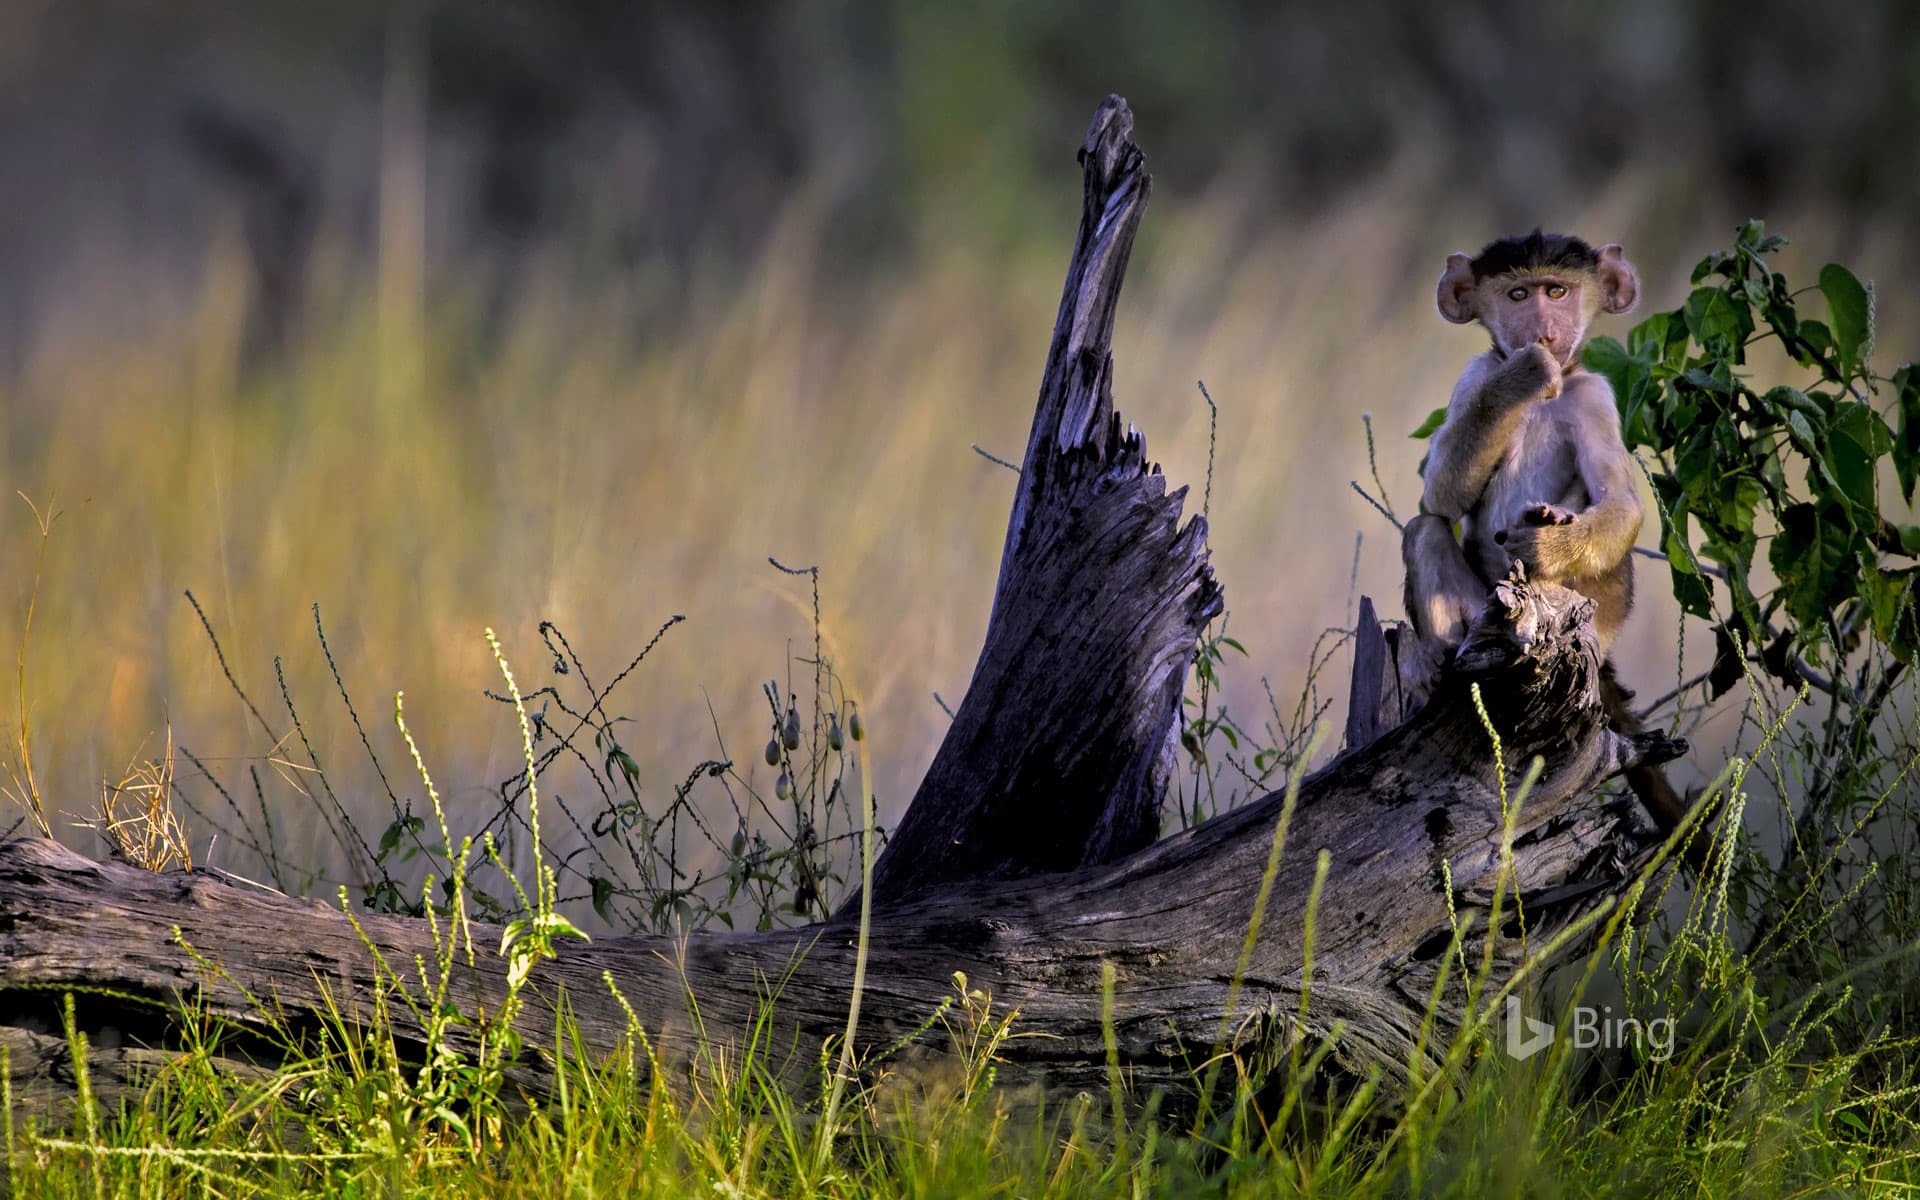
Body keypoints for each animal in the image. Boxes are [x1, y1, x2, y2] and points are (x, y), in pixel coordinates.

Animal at [1402, 230, 1693, 845]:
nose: (1544, 329)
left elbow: (1621, 502)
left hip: (1590, 622)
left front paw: (1547, 544)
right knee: (1424, 530)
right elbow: (1439, 495)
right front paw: (1524, 375)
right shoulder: (1475, 373)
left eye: (1556, 291)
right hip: (1484, 617)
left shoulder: (1595, 396)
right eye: (1518, 294)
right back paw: (1439, 666)